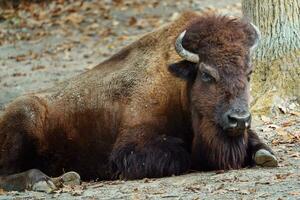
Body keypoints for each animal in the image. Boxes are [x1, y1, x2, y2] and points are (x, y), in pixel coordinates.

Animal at [0, 11, 276, 192]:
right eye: (207, 74)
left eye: (249, 73)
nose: (239, 119)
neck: (177, 83)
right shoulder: (130, 148)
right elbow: (181, 154)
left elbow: (259, 146)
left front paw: (265, 155)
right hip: (23, 122)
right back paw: (41, 182)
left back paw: (65, 179)